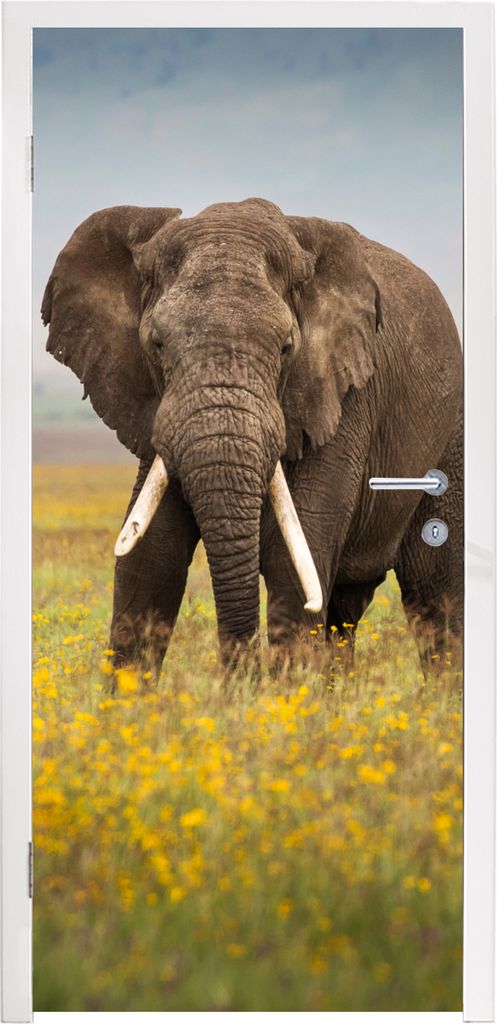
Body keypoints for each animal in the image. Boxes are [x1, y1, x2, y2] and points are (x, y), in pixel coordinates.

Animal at [42, 198, 463, 675]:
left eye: (286, 348)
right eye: (157, 345)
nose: (241, 677)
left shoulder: (344, 397)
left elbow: (292, 559)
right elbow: (151, 557)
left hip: (450, 435)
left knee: (435, 594)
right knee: (345, 610)